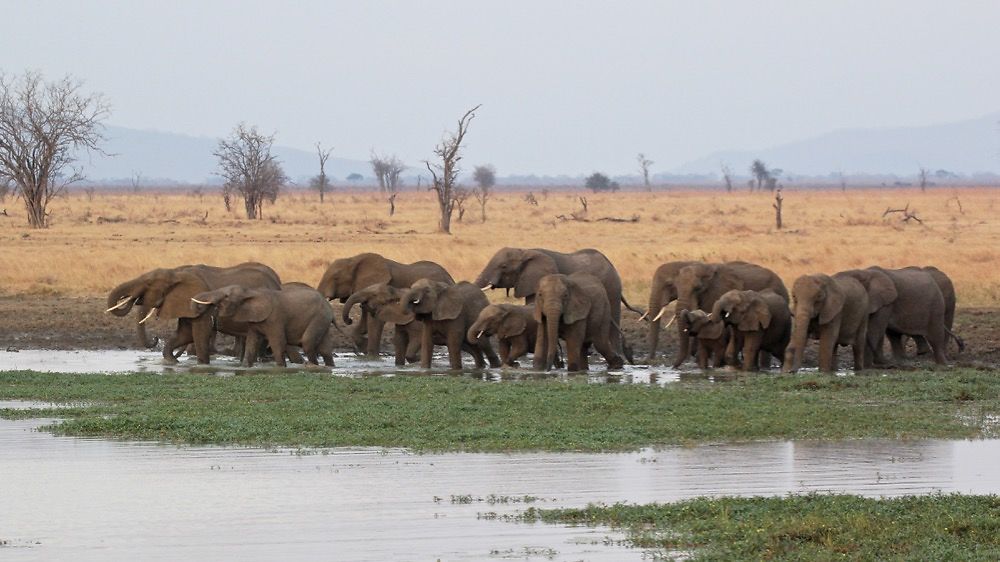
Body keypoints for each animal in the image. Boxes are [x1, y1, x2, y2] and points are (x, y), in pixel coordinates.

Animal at [104, 260, 282, 360]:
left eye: (148, 284)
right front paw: (171, 361)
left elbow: (200, 333)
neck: (176, 273)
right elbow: (185, 334)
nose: (155, 338)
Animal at [191, 282, 336, 366]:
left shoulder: (275, 318)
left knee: (307, 343)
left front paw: (281, 368)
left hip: (319, 317)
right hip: (322, 320)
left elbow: (278, 342)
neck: (251, 292)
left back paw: (312, 366)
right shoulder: (254, 320)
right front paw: (245, 367)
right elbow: (252, 342)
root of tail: (330, 308)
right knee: (325, 350)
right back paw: (328, 366)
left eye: (226, 296)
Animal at [316, 253, 454, 356]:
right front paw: (364, 349)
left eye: (336, 278)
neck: (353, 259)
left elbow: (375, 321)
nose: (349, 320)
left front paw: (372, 357)